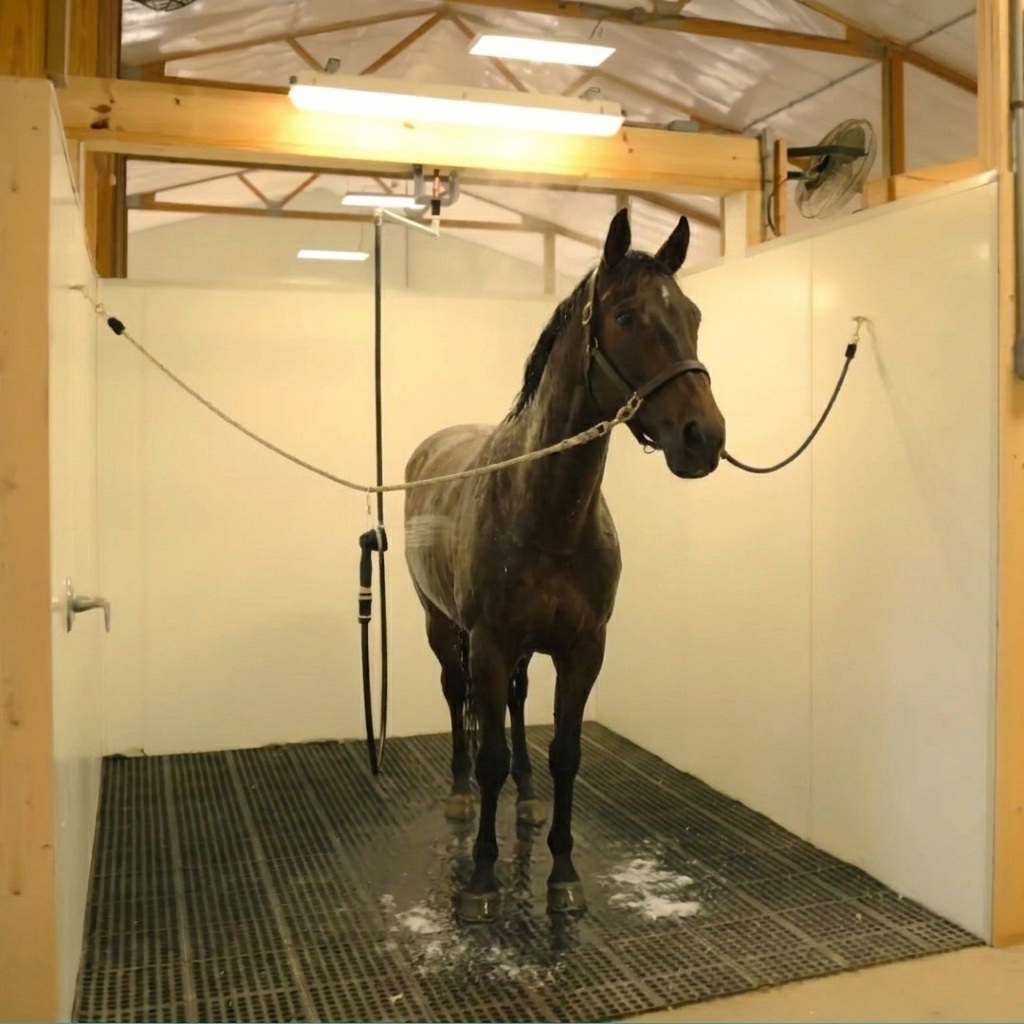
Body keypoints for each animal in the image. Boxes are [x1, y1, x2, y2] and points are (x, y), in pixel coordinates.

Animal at [403, 208, 725, 922]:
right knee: (456, 697)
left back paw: (525, 801)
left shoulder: (584, 648)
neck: (547, 516)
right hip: (442, 627)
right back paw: (461, 795)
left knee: (519, 704)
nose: (706, 437)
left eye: (692, 314)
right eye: (627, 316)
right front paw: (483, 879)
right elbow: (491, 752)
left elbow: (566, 752)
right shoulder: (489, 643)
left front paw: (562, 874)